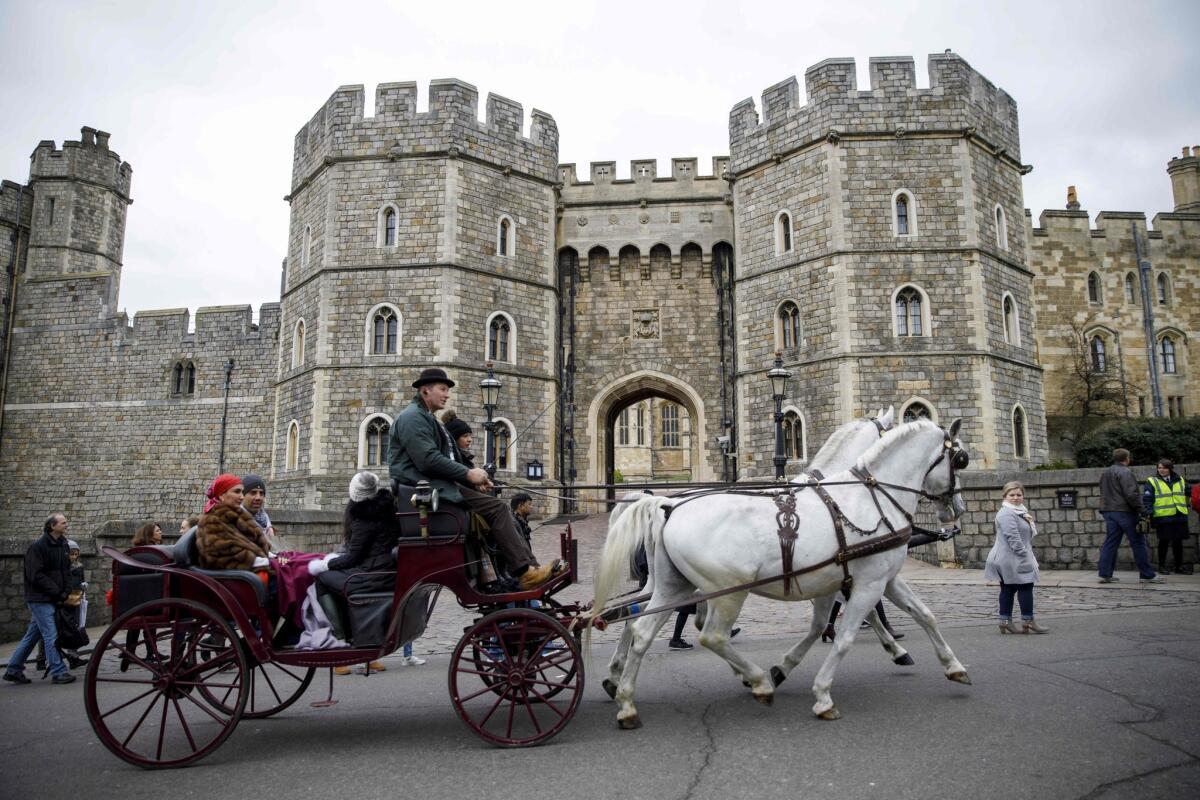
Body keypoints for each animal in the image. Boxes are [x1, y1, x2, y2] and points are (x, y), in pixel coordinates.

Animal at [590, 417, 974, 729]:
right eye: (961, 459)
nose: (958, 507)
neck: (868, 499)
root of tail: (668, 505)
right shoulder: (867, 582)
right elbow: (847, 635)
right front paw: (822, 695)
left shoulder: (862, 579)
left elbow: (922, 615)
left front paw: (953, 666)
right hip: (728, 591)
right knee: (711, 635)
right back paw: (757, 681)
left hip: (674, 585)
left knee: (639, 629)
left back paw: (626, 699)